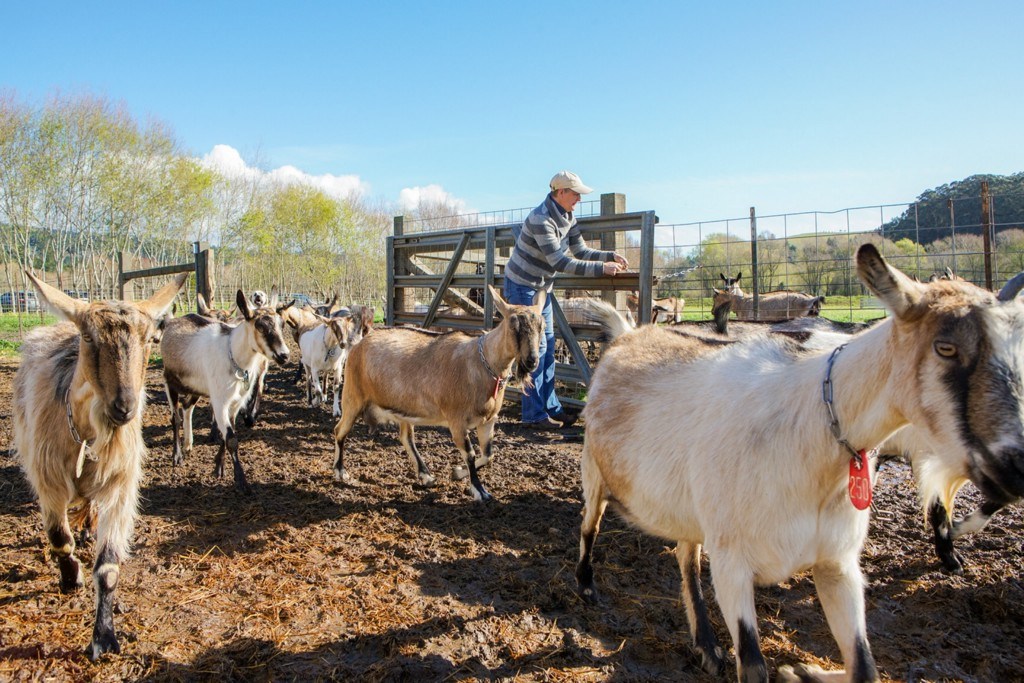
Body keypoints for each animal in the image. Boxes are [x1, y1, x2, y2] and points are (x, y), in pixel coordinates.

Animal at [12, 270, 186, 659]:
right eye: (88, 337)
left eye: (150, 339)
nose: (125, 407)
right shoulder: (47, 478)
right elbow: (60, 540)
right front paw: (70, 577)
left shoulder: (120, 482)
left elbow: (107, 568)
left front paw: (104, 637)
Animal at [159, 288, 290, 491]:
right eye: (260, 326)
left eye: (282, 324)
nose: (284, 355)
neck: (233, 355)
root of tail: (172, 323)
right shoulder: (220, 401)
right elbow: (231, 438)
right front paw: (242, 481)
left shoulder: (235, 402)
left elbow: (227, 433)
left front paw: (218, 467)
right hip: (170, 381)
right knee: (175, 418)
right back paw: (177, 456)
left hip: (197, 386)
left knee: (187, 406)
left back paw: (189, 444)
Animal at [333, 284, 544, 501]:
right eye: (513, 325)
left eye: (541, 326)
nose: (532, 361)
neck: (483, 363)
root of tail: (358, 345)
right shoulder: (457, 421)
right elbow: (470, 454)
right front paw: (479, 490)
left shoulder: (488, 420)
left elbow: (488, 454)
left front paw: (457, 473)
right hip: (353, 397)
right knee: (340, 430)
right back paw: (340, 472)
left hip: (403, 408)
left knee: (405, 437)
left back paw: (426, 476)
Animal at [581, 244, 1024, 679]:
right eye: (945, 347)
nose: (1017, 466)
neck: (812, 432)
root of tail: (628, 334)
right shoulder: (732, 564)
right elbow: (754, 666)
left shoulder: (837, 564)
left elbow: (864, 667)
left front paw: (801, 670)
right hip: (594, 470)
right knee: (592, 524)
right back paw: (586, 586)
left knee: (685, 557)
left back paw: (706, 645)